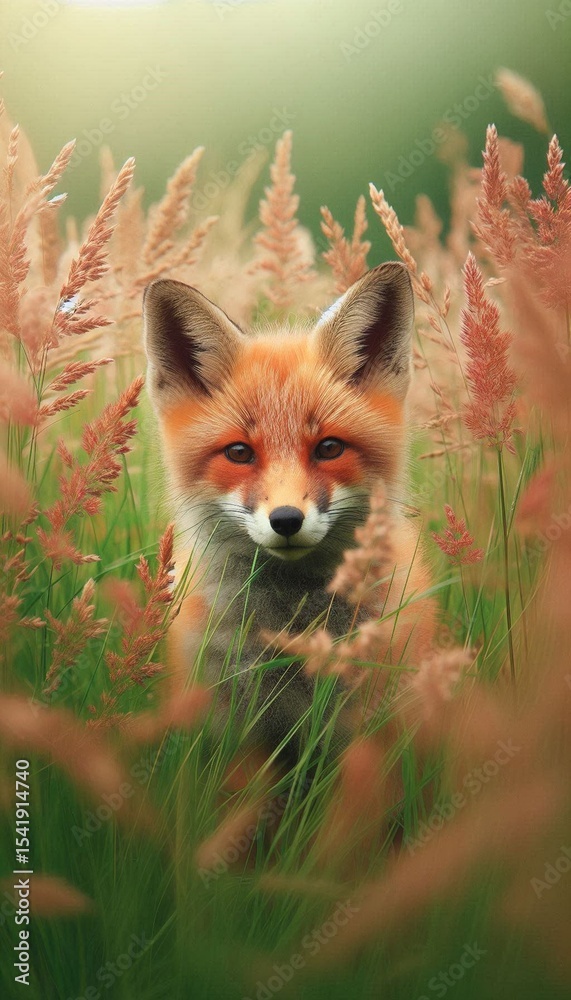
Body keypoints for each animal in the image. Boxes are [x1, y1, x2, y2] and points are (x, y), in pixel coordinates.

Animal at [143, 262, 436, 764]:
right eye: (239, 453)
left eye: (329, 448)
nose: (285, 520)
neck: (291, 630)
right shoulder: (235, 733)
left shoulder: (364, 727)